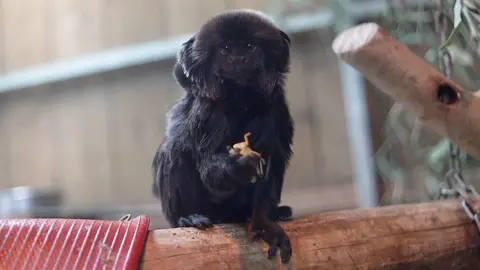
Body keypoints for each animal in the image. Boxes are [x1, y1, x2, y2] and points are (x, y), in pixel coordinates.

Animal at [154, 9, 294, 262]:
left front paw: (265, 223)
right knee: (175, 149)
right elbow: (209, 168)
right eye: (226, 49)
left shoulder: (272, 105)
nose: (238, 58)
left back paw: (277, 212)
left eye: (248, 46)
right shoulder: (208, 109)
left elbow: (269, 163)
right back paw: (187, 217)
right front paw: (236, 166)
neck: (240, 97)